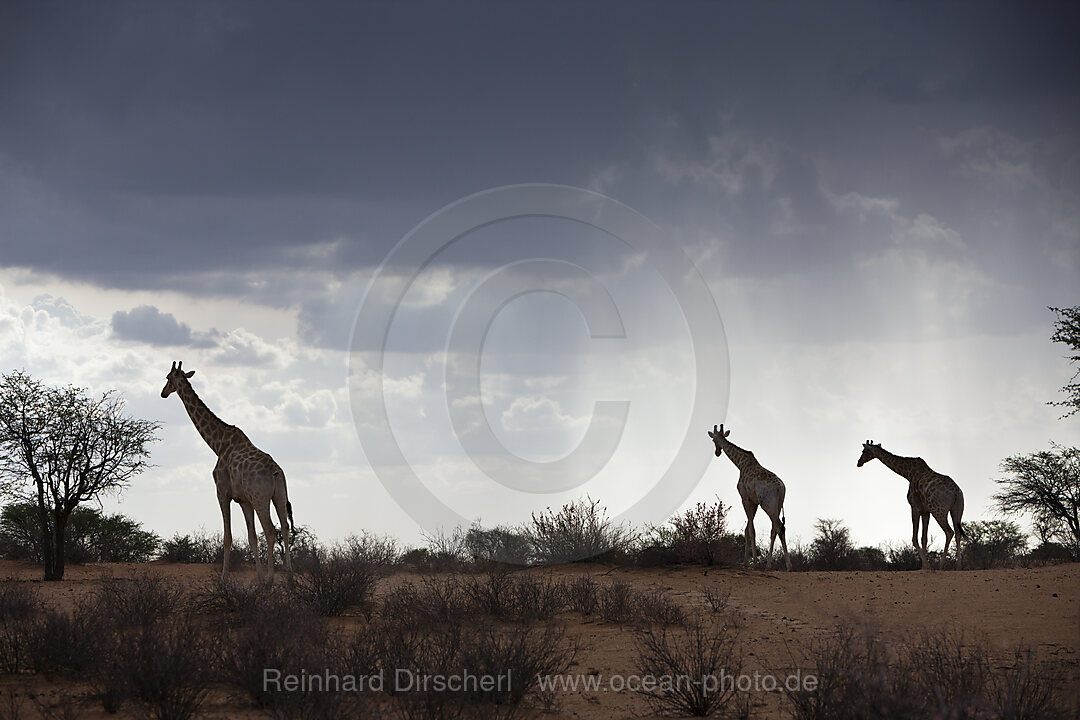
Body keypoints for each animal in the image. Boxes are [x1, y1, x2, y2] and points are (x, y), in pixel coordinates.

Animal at [158, 362, 291, 582]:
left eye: (168, 377)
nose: (163, 393)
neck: (217, 444)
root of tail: (275, 472)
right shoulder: (244, 500)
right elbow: (252, 538)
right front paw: (259, 579)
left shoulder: (222, 493)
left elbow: (227, 537)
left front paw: (224, 578)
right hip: (279, 495)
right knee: (286, 528)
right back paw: (290, 578)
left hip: (261, 498)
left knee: (271, 530)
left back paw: (272, 579)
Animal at [708, 425, 794, 569]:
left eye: (714, 440)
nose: (717, 452)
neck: (740, 464)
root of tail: (781, 488)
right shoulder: (754, 502)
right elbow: (747, 530)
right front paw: (746, 562)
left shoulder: (745, 498)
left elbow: (751, 530)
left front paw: (753, 563)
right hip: (777, 505)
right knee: (774, 529)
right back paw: (768, 566)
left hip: (768, 505)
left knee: (780, 527)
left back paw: (788, 566)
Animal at [855, 440, 967, 569]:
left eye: (864, 451)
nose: (859, 463)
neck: (908, 473)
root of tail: (956, 492)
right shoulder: (925, 511)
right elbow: (924, 538)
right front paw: (924, 567)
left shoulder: (915, 507)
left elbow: (914, 538)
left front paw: (926, 566)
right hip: (957, 510)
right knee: (958, 533)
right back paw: (959, 566)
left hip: (939, 511)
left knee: (949, 532)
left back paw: (941, 565)